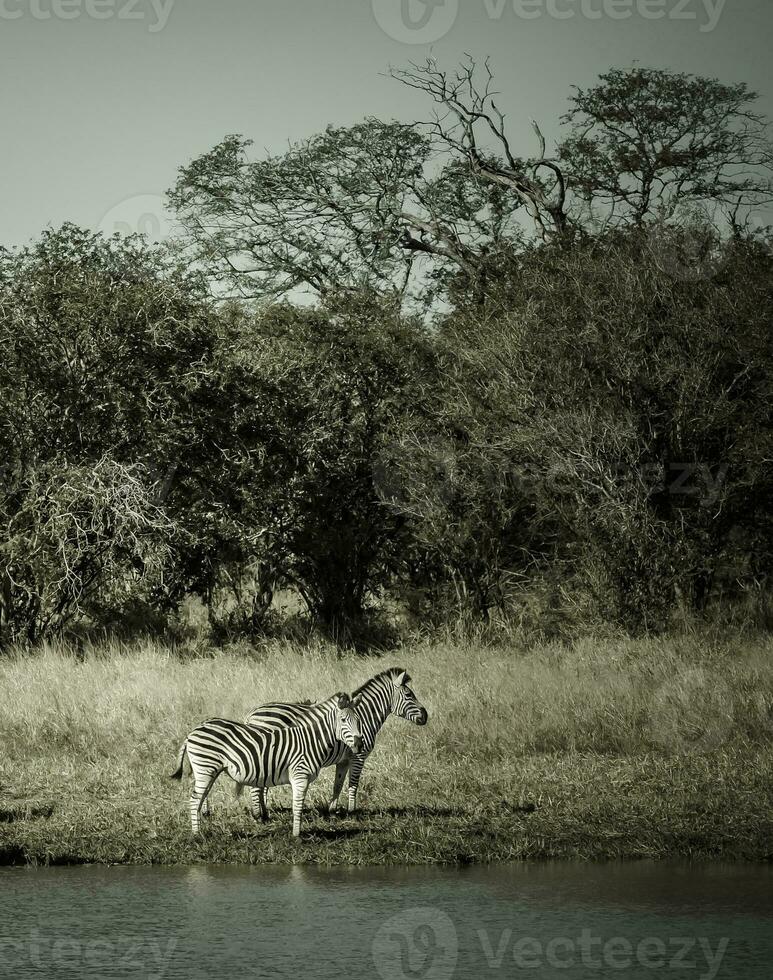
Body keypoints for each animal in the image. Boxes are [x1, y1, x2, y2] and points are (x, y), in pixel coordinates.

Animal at [169, 688, 362, 836]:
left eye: (359, 720)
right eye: (343, 720)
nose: (359, 743)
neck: (311, 739)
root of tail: (193, 731)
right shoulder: (300, 775)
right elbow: (297, 806)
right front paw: (296, 835)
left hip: (207, 770)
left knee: (200, 799)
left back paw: (201, 829)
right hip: (206, 768)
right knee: (195, 800)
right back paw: (197, 835)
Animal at [244, 668, 428, 820]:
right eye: (409, 695)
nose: (426, 716)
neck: (364, 716)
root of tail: (251, 714)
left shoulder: (344, 759)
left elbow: (338, 785)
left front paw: (332, 811)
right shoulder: (358, 756)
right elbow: (353, 784)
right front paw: (352, 811)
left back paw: (264, 813)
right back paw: (259, 816)